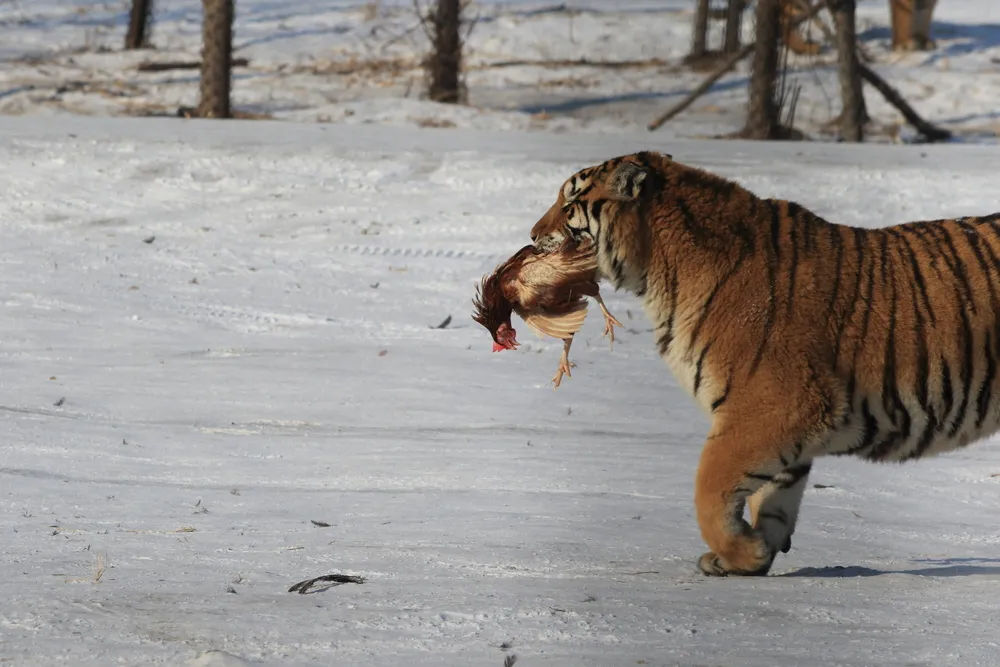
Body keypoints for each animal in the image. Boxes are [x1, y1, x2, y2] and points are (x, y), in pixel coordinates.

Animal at [528, 150, 1000, 577]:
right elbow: (771, 498)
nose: (532, 235)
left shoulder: (772, 405)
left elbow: (709, 486)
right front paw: (751, 554)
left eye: (569, 206)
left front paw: (739, 550)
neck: (658, 271)